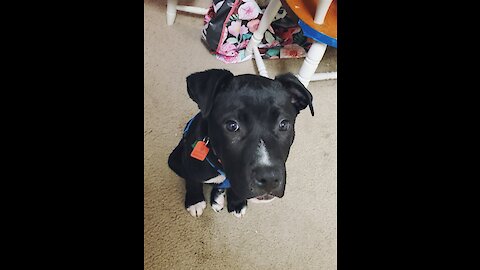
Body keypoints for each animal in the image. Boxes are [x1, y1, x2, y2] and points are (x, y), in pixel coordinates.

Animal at [167, 69, 314, 217]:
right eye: (232, 125)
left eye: (283, 124)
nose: (269, 179)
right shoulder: (190, 166)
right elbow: (192, 181)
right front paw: (195, 201)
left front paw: (237, 202)